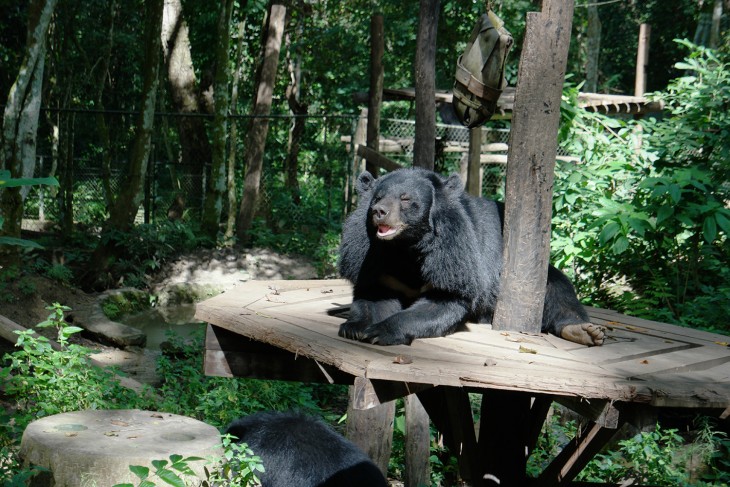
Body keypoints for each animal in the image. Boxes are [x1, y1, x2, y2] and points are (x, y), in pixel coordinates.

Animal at [338, 168, 604, 346]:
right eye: (377, 197)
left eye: (405, 199)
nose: (379, 212)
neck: (406, 246)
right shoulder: (373, 259)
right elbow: (373, 294)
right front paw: (355, 328)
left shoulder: (453, 257)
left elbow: (445, 299)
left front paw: (380, 331)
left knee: (560, 290)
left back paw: (584, 331)